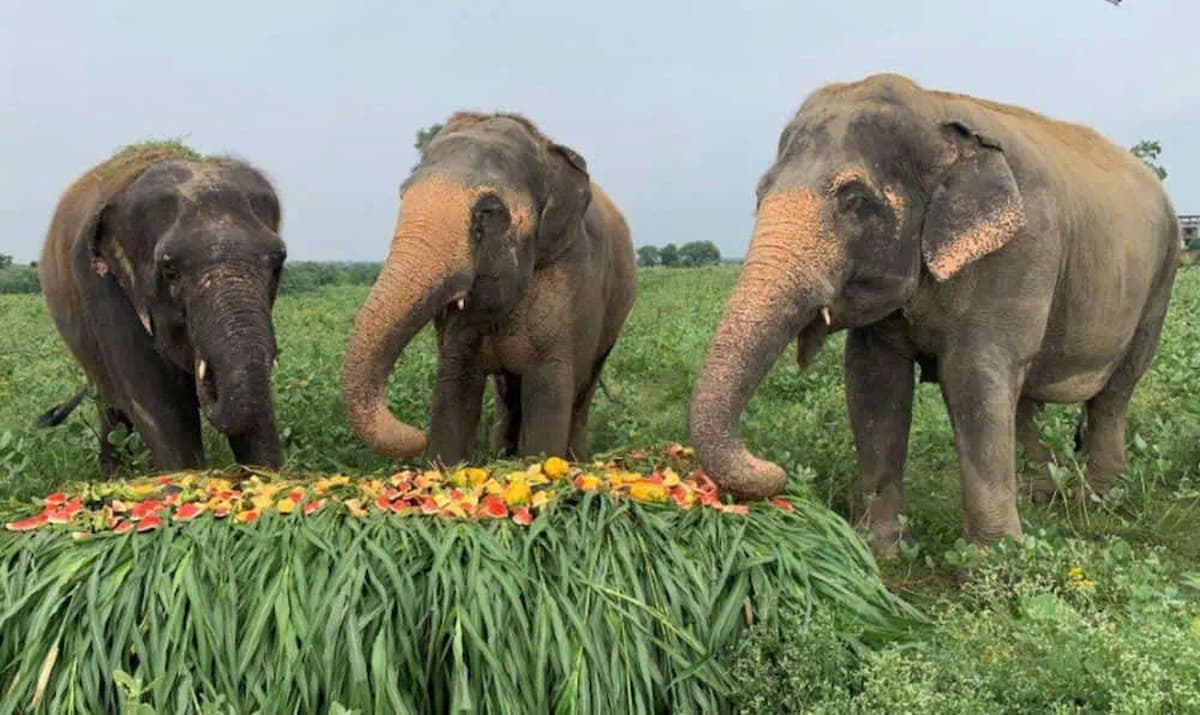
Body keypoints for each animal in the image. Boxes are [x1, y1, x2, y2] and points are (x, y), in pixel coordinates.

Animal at [39, 143, 288, 475]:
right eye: (171, 271)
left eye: (277, 263)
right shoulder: (103, 286)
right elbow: (161, 411)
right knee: (111, 405)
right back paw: (114, 475)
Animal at [340, 111, 638, 463]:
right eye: (402, 195)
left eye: (488, 211)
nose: (416, 436)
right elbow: (455, 382)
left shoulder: (573, 275)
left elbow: (549, 388)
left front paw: (540, 463)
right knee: (508, 393)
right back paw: (504, 454)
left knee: (582, 389)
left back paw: (576, 460)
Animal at [691, 74, 1176, 551]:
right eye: (759, 194)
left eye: (854, 198)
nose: (778, 472)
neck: (936, 111)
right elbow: (873, 380)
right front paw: (880, 549)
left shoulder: (1018, 253)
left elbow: (972, 378)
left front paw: (991, 562)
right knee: (1025, 398)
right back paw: (1040, 496)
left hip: (1161, 277)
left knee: (1114, 392)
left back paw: (1099, 499)